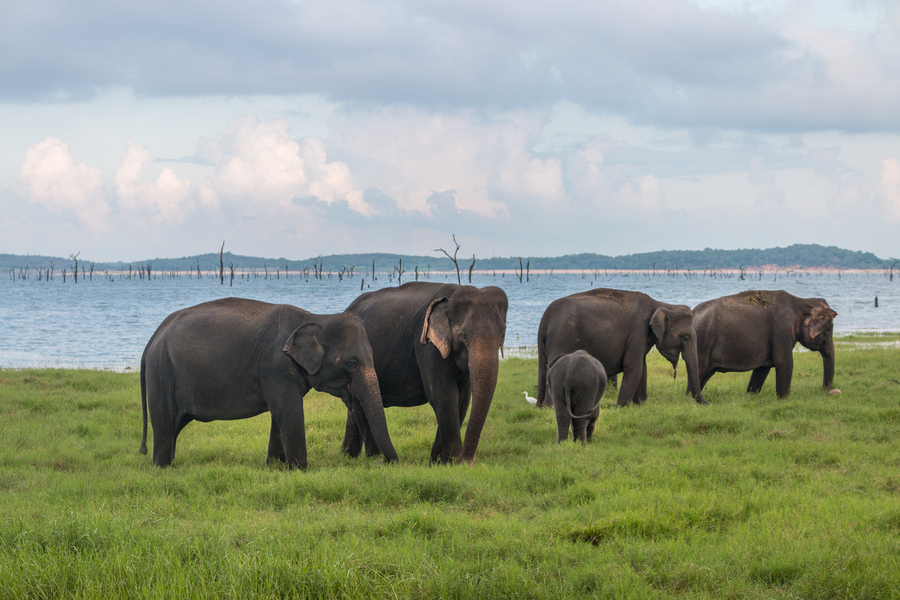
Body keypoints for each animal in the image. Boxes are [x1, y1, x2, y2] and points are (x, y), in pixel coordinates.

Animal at [140, 298, 398, 469]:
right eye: (352, 364)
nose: (383, 462)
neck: (315, 318)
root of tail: (153, 337)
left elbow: (279, 413)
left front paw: (275, 467)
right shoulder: (275, 366)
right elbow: (289, 411)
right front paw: (300, 470)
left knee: (174, 427)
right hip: (162, 375)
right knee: (165, 425)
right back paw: (163, 468)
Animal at [342, 282, 508, 464]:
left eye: (502, 335)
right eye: (463, 336)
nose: (468, 462)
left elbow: (462, 399)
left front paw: (437, 462)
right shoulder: (427, 346)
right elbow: (443, 396)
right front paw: (452, 462)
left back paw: (348, 456)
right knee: (358, 403)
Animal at [537, 288, 707, 407]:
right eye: (686, 337)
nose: (708, 402)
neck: (660, 304)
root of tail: (545, 316)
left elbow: (642, 367)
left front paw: (640, 404)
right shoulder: (637, 330)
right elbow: (633, 366)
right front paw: (621, 407)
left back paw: (543, 407)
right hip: (562, 338)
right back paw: (551, 408)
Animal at [692, 290, 838, 398]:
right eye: (828, 328)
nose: (829, 391)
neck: (801, 301)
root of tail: (692, 312)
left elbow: (762, 368)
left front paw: (751, 396)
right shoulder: (781, 330)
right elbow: (784, 363)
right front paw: (784, 399)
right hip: (702, 344)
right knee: (700, 371)